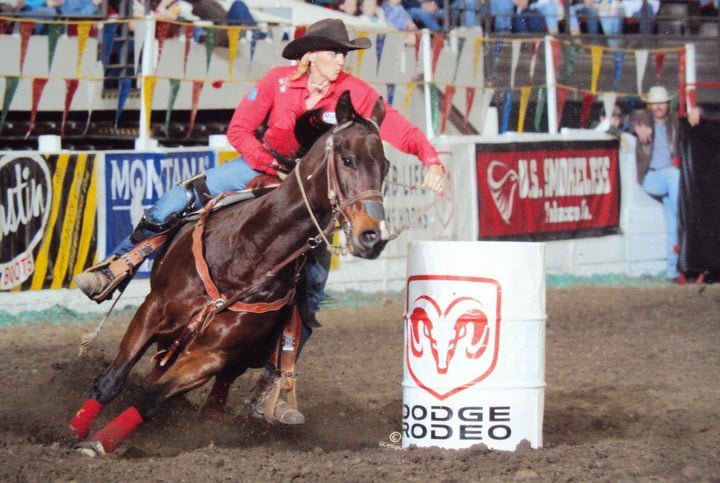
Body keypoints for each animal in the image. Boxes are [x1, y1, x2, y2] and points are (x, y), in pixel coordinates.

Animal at [70, 91, 390, 458]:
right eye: (348, 160)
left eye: (385, 167)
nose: (373, 236)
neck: (249, 250)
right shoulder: (153, 310)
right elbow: (111, 381)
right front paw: (76, 430)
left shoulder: (213, 354)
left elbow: (151, 398)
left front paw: (99, 442)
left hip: (241, 353)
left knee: (212, 381)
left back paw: (215, 414)